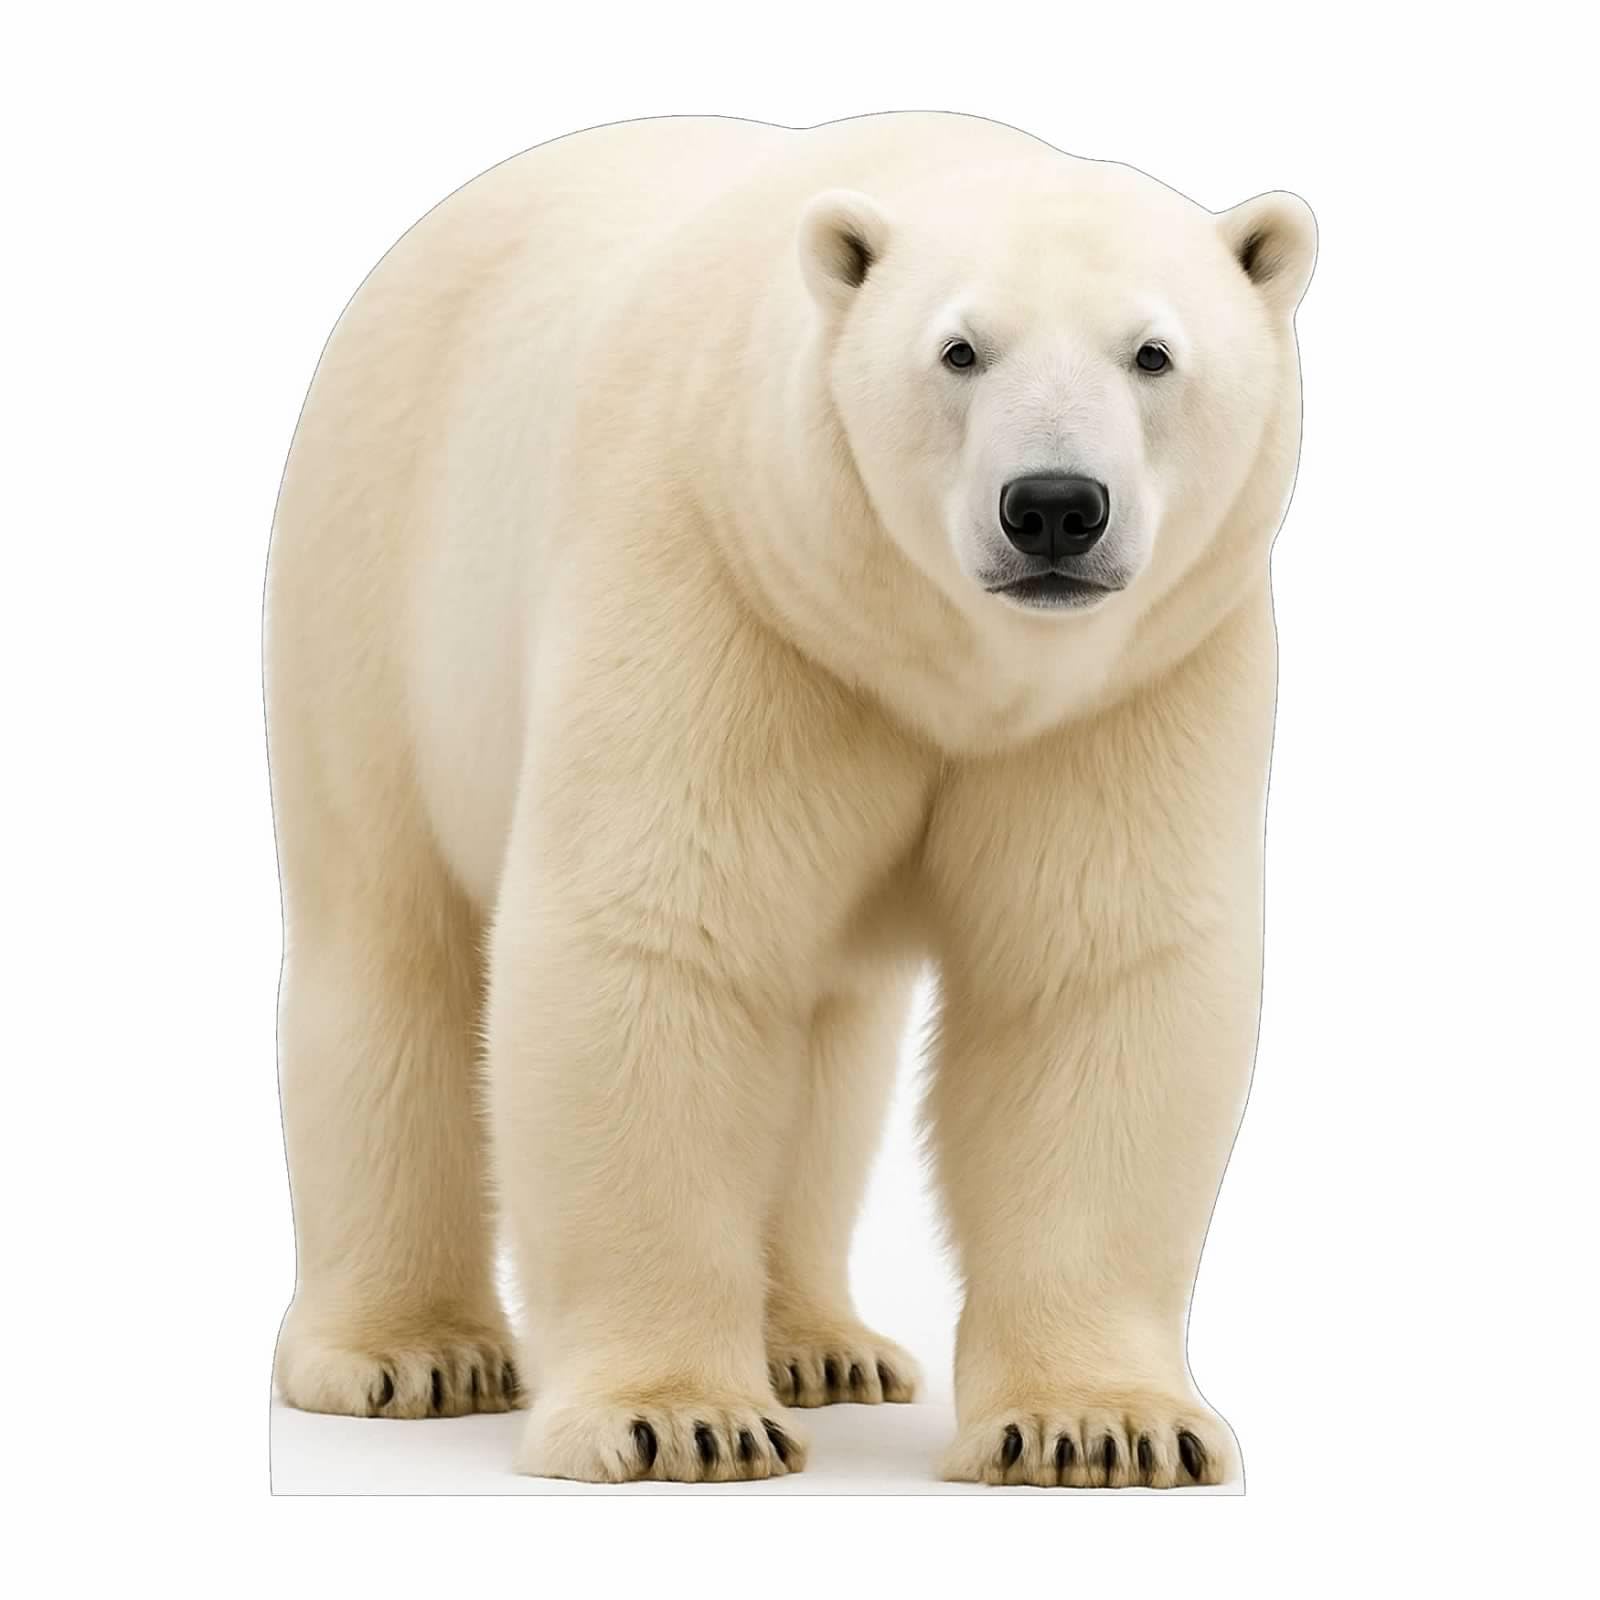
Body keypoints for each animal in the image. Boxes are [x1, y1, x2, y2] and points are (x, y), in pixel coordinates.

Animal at [265, 111, 1314, 1488]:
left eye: (1152, 352)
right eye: (959, 349)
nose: (1052, 507)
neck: (935, 662)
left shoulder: (1141, 677)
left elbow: (1092, 975)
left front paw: (1102, 1425)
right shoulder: (719, 579)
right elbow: (656, 942)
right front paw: (677, 1417)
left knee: (823, 1049)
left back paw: (823, 1345)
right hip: (375, 580)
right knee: (389, 949)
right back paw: (412, 1353)